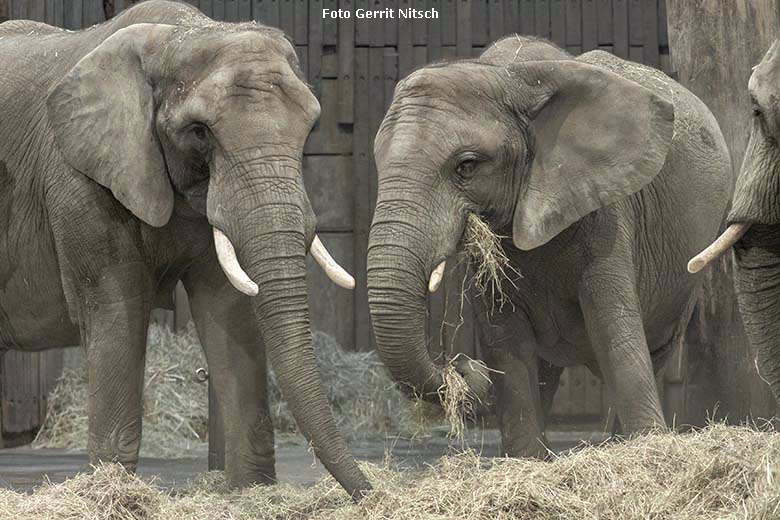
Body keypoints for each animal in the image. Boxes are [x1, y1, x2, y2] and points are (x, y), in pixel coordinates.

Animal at [0, 0, 370, 496]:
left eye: (310, 130)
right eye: (199, 132)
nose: (372, 494)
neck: (182, 34)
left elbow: (227, 309)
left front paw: (250, 492)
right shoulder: (80, 179)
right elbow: (118, 309)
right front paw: (112, 492)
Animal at [366, 36, 732, 458]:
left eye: (467, 166)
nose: (466, 368)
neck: (509, 77)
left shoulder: (606, 211)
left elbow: (614, 332)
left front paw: (646, 449)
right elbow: (507, 342)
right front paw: (526, 460)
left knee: (653, 350)